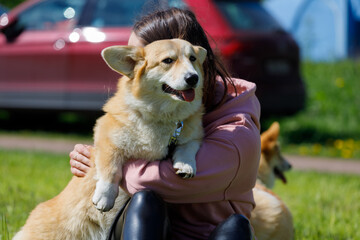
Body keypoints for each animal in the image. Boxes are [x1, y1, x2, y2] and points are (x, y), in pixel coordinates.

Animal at [14, 39, 207, 240]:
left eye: (192, 58)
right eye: (168, 60)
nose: (193, 78)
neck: (163, 117)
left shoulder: (193, 135)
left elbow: (187, 147)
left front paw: (185, 166)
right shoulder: (107, 138)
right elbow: (111, 168)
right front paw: (104, 197)